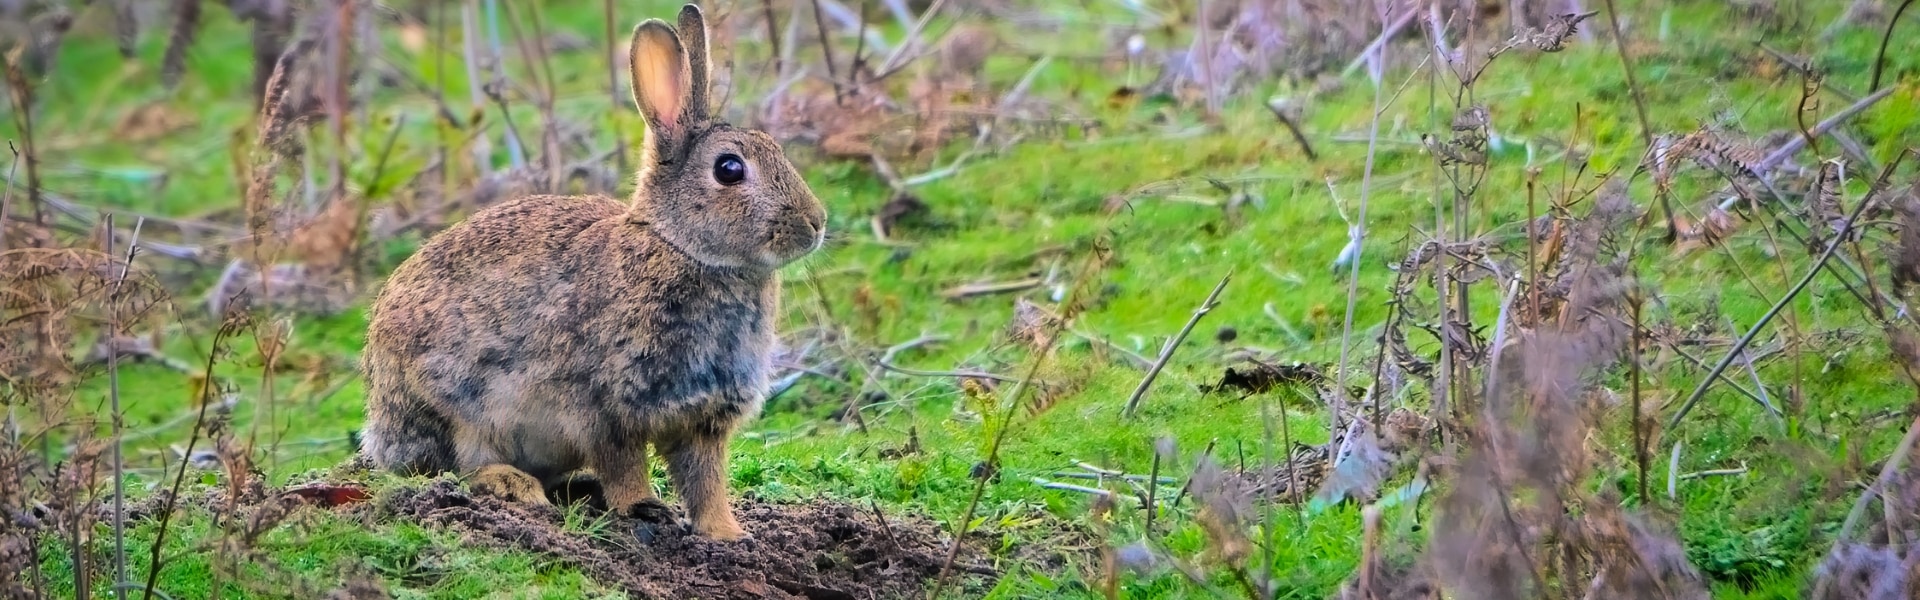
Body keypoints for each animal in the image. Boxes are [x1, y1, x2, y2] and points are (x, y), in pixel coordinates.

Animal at [358, 3, 825, 542]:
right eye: (729, 169)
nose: (816, 223)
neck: (681, 248)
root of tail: (380, 428)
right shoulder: (602, 407)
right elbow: (623, 465)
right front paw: (642, 507)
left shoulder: (704, 418)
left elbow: (706, 481)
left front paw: (727, 534)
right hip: (455, 405)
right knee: (461, 464)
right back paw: (513, 485)